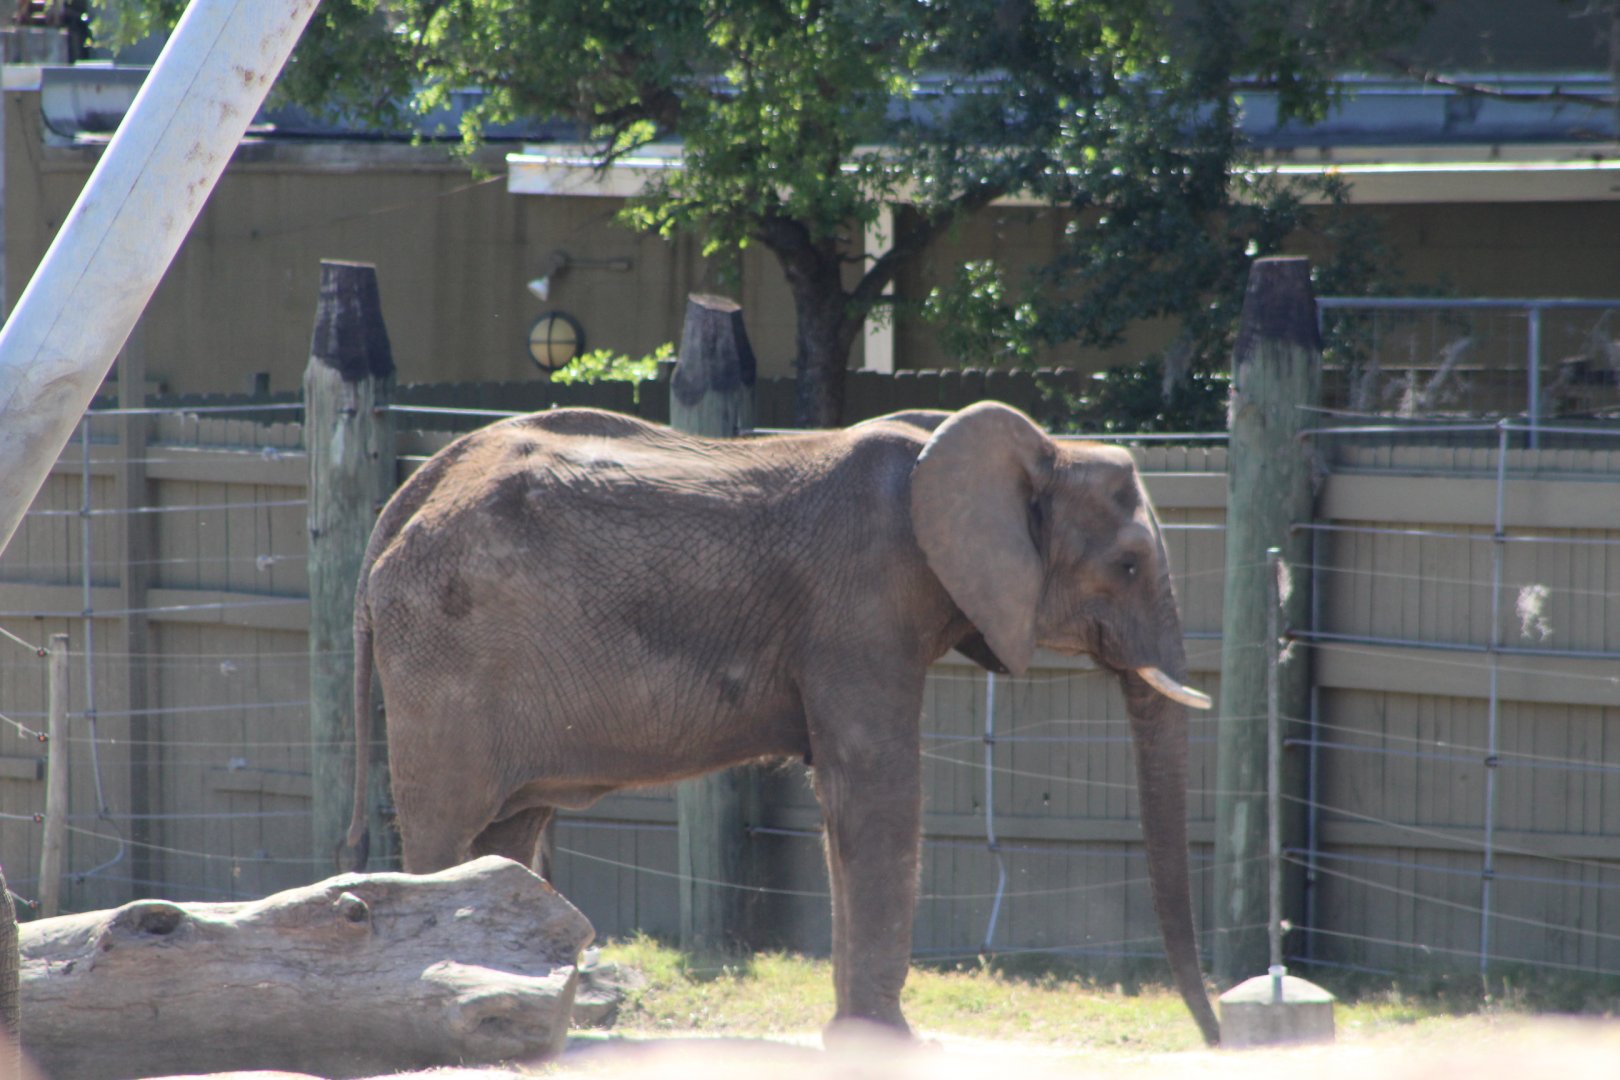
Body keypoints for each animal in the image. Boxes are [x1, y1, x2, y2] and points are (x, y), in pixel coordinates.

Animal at [340, 400, 1220, 1045]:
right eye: (1129, 565)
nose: (1214, 1041)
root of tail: (401, 503)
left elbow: (845, 801)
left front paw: (858, 1038)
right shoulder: (862, 602)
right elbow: (878, 785)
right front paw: (887, 1045)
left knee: (506, 836)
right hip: (443, 650)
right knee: (448, 831)